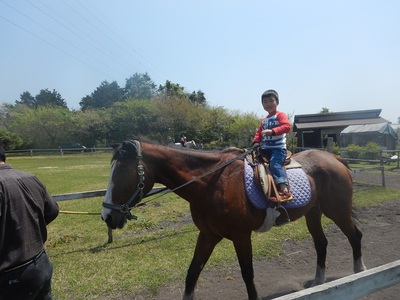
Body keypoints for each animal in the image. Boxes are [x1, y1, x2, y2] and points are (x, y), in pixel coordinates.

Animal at [101, 141, 368, 300]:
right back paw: (318, 283)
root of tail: (334, 158)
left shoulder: (241, 236)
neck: (212, 182)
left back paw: (360, 274)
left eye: (122, 172)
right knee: (321, 243)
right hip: (313, 212)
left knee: (355, 236)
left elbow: (247, 273)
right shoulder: (208, 235)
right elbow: (192, 273)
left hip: (337, 210)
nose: (107, 216)